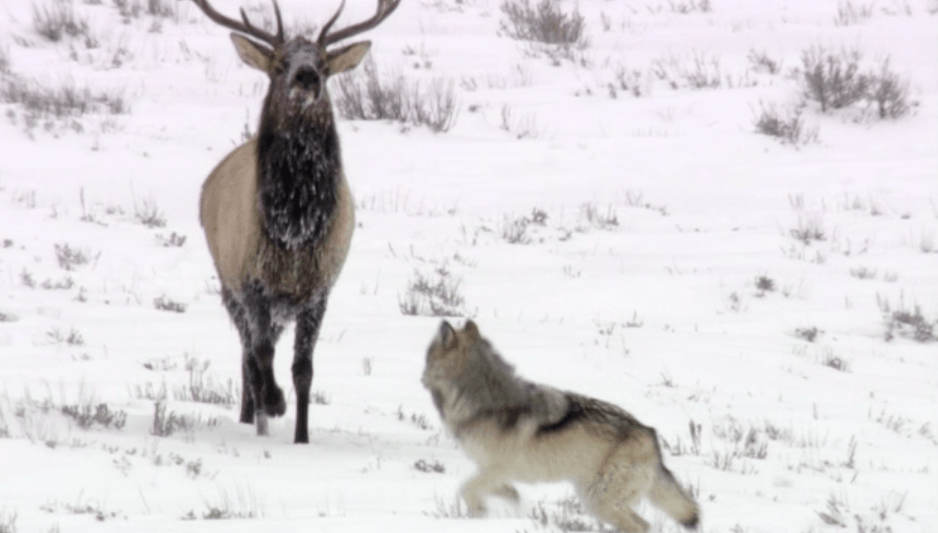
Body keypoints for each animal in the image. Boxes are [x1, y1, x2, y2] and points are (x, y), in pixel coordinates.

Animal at [192, 0, 400, 443]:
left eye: (323, 64)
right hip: (227, 282)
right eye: (278, 64)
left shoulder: (319, 288)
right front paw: (274, 402)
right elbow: (261, 354)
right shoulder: (251, 279)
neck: (294, 231)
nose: (306, 76)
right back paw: (252, 414)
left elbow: (303, 370)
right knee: (248, 352)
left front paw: (302, 437)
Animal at [421, 320, 699, 533]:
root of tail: (651, 436)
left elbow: (466, 488)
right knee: (645, 524)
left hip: (597, 501)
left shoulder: (499, 468)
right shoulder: (490, 470)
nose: (421, 378)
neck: (482, 403)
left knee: (638, 526)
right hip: (598, 499)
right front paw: (509, 503)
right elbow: (501, 491)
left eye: (427, 357)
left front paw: (479, 513)